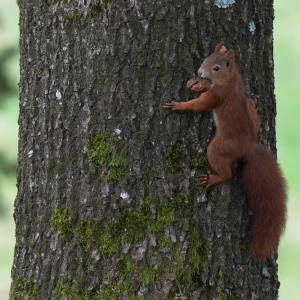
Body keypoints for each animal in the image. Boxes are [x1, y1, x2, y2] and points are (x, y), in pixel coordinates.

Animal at [164, 42, 286, 260]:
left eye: (216, 68)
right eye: (206, 58)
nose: (199, 72)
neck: (230, 79)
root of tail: (247, 147)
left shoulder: (217, 96)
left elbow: (199, 105)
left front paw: (180, 105)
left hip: (219, 148)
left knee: (227, 173)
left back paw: (215, 178)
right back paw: (254, 105)